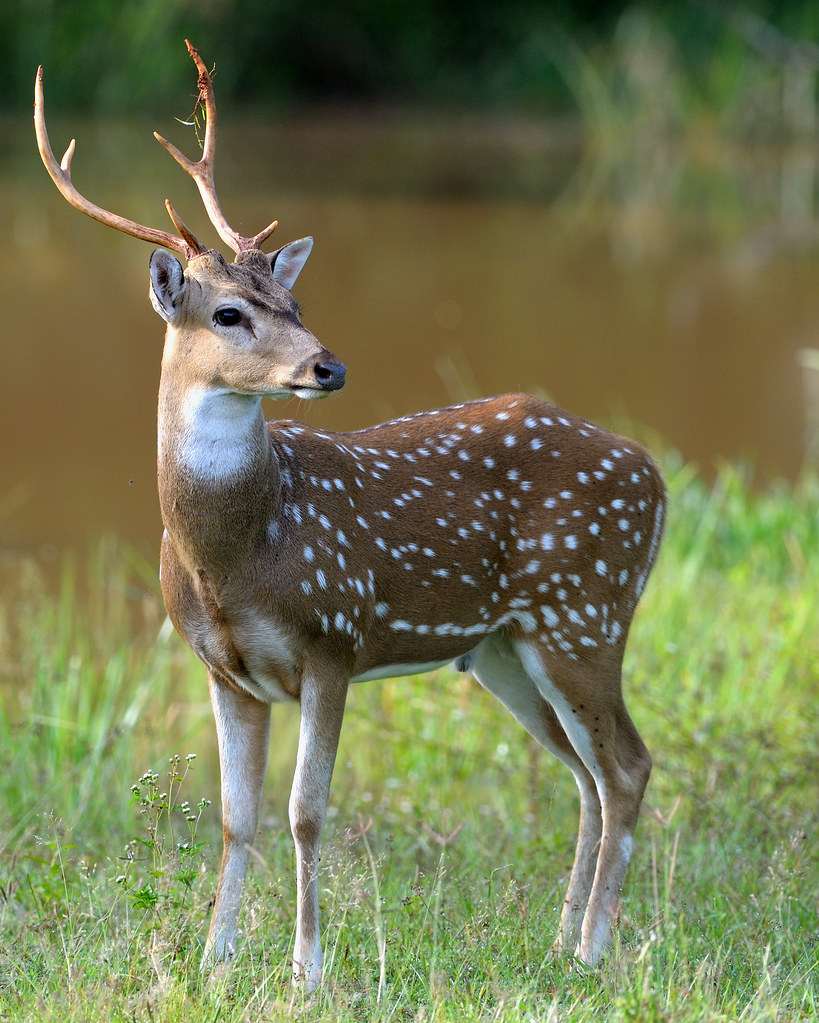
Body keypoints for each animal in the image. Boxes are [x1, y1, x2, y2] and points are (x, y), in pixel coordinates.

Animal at [35, 41, 666, 989]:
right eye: (229, 312)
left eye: (294, 305)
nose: (326, 366)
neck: (235, 556)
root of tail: (656, 477)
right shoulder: (223, 669)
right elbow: (236, 816)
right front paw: (215, 960)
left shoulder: (334, 637)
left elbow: (305, 811)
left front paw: (306, 966)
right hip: (505, 647)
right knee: (586, 772)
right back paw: (561, 943)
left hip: (585, 609)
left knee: (626, 764)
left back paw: (592, 950)